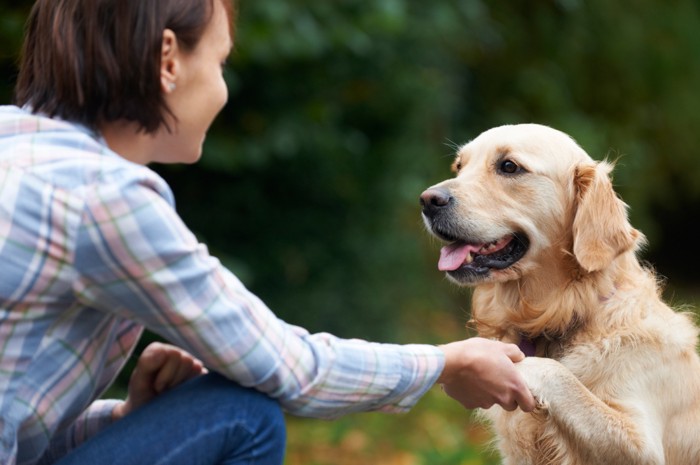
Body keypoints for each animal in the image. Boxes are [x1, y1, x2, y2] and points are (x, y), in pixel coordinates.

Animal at [418, 124, 696, 464]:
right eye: (459, 167)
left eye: (508, 166)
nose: (427, 200)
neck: (565, 314)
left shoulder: (643, 445)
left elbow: (556, 373)